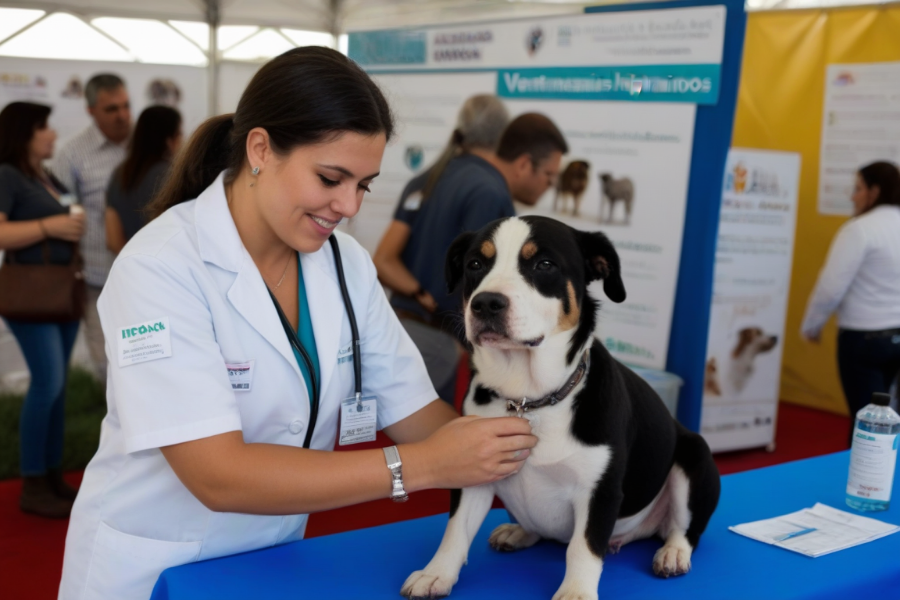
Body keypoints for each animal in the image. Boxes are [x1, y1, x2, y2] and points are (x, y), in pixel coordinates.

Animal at [400, 217, 716, 600]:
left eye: (544, 265)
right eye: (475, 264)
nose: (486, 304)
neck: (529, 398)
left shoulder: (599, 490)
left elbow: (583, 547)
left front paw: (576, 591)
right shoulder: (474, 468)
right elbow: (455, 531)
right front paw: (436, 573)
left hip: (695, 456)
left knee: (684, 528)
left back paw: (673, 552)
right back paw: (518, 531)